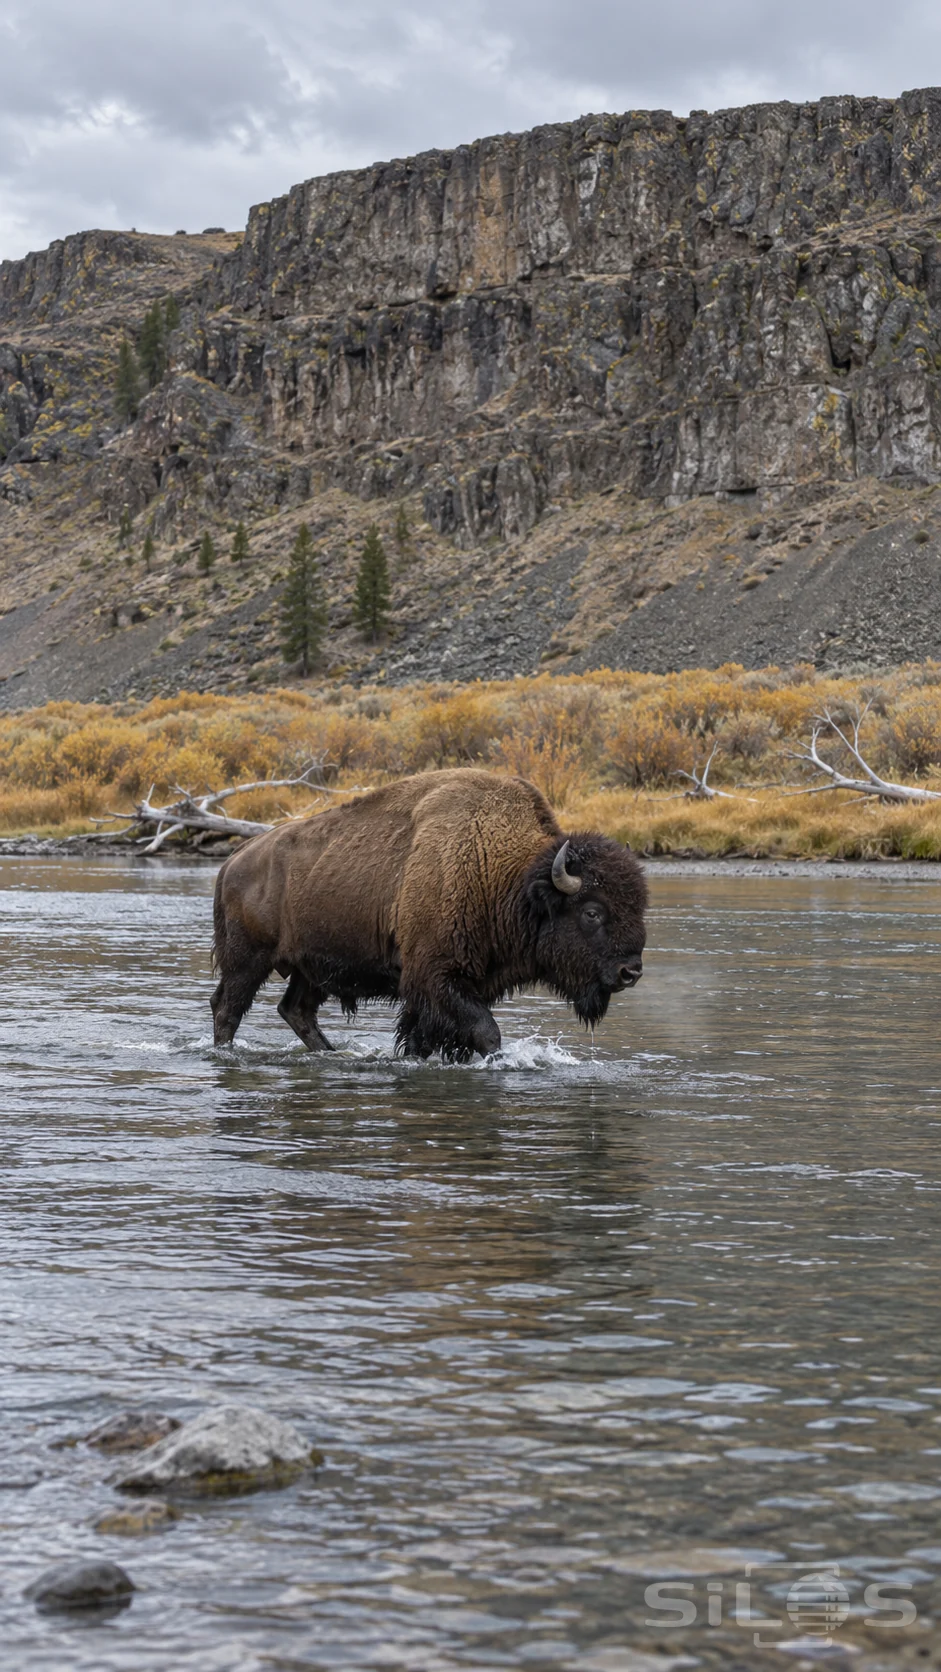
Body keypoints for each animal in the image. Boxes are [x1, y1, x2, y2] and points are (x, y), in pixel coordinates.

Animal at [211, 768, 647, 1059]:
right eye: (592, 912)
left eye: (638, 905)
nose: (631, 971)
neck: (504, 875)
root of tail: (234, 859)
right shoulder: (436, 977)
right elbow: (486, 1032)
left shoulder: (450, 988)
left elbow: (424, 1038)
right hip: (248, 961)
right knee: (227, 1008)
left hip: (310, 968)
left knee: (295, 1010)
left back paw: (330, 1054)